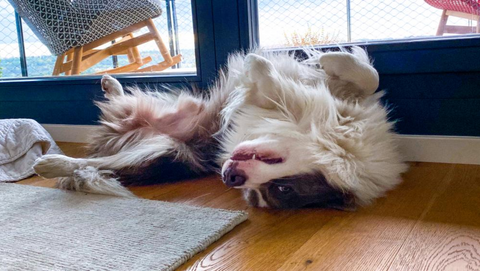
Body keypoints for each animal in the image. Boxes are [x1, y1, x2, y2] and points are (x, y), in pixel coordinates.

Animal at [33, 47, 406, 210]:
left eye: (279, 191)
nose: (230, 178)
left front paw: (262, 66)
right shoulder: (338, 102)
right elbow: (368, 77)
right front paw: (328, 58)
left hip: (161, 150)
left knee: (95, 164)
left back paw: (50, 163)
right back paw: (111, 84)